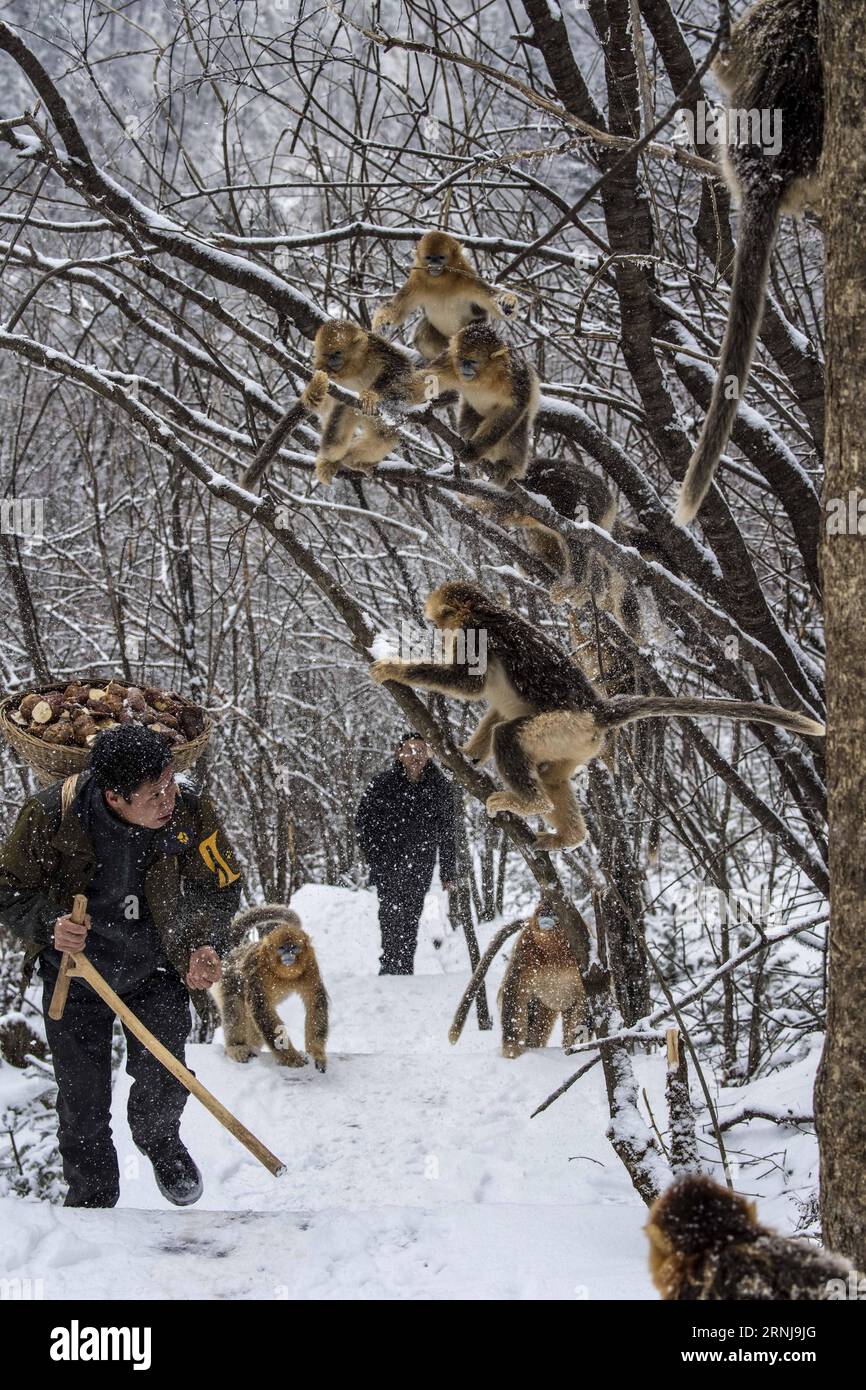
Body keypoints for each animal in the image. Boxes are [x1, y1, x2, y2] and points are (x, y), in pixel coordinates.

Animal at [211, 904, 329, 1072]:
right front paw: (292, 1058)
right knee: (234, 1004)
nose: (289, 955)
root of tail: (232, 952)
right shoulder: (258, 967)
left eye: (294, 948)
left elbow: (315, 1002)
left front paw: (316, 1053)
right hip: (225, 979)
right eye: (282, 948)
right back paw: (237, 1047)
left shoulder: (310, 965)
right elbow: (262, 1009)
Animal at [302, 320, 417, 486]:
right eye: (326, 354)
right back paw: (333, 461)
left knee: (382, 439)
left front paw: (370, 395)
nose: (331, 360)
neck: (354, 366)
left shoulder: (376, 347)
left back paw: (351, 460)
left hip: (377, 419)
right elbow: (322, 407)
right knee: (335, 445)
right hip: (348, 409)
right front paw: (315, 387)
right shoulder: (327, 372)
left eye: (337, 353)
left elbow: (400, 367)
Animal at [369, 581, 825, 851]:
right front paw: (469, 754)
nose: (436, 631)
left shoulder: (475, 631)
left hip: (564, 727)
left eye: (439, 621)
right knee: (549, 773)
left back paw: (529, 802)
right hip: (575, 744)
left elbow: (469, 684)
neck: (485, 608)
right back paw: (568, 835)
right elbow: (494, 706)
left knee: (511, 737)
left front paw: (395, 669)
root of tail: (596, 711)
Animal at [372, 230, 518, 361]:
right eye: (429, 257)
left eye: (441, 258)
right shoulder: (416, 282)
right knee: (423, 332)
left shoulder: (467, 279)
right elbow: (397, 308)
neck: (442, 282)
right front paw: (381, 325)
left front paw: (507, 304)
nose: (434, 264)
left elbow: (491, 304)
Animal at [419, 323, 540, 485]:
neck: (484, 378)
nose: (464, 367)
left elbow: (514, 407)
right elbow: (429, 381)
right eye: (461, 358)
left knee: (516, 431)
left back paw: (509, 466)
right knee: (468, 422)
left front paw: (475, 451)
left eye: (472, 361)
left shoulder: (515, 374)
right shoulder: (449, 361)